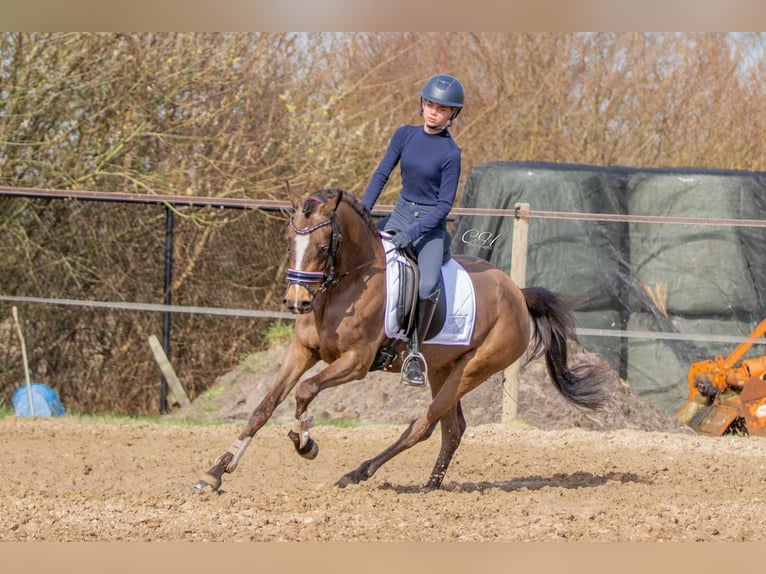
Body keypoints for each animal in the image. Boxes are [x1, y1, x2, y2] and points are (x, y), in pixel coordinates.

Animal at [196, 189, 612, 496]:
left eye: (324, 245)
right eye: (288, 241)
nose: (297, 302)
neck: (342, 288)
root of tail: (517, 293)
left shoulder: (356, 362)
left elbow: (305, 391)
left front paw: (305, 443)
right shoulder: (303, 352)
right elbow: (264, 407)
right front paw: (216, 471)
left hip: (473, 369)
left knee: (424, 426)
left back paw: (359, 473)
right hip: (443, 369)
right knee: (452, 429)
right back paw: (430, 487)